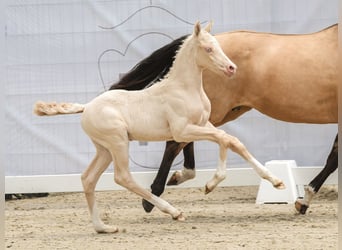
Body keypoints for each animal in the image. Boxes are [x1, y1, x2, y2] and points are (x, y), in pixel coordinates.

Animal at [109, 23, 336, 215]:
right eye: (209, 50)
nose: (231, 68)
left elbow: (333, 158)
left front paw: (303, 201)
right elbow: (334, 159)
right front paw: (303, 201)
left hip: (221, 112)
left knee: (188, 141)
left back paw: (178, 178)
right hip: (217, 110)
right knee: (175, 142)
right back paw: (153, 196)